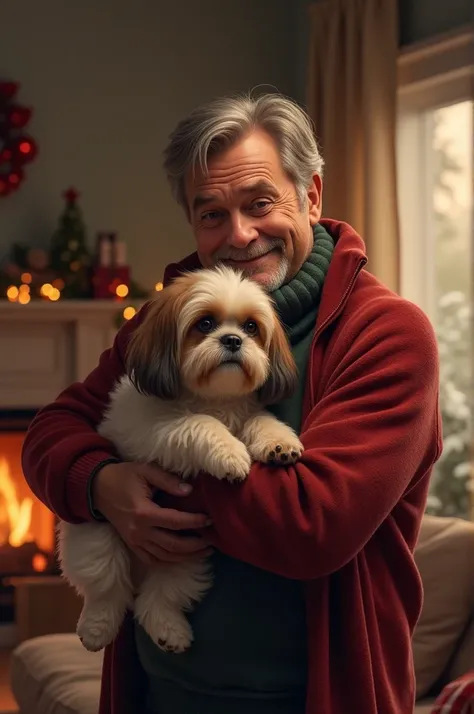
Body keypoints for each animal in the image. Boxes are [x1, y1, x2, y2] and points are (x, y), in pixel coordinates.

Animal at [57, 266, 304, 652]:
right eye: (205, 323)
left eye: (251, 327)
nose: (232, 340)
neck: (213, 398)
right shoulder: (154, 432)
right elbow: (200, 424)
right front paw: (231, 455)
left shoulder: (246, 412)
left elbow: (261, 420)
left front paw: (279, 443)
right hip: (96, 536)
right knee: (108, 589)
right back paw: (96, 628)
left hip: (185, 558)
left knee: (157, 598)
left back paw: (168, 630)